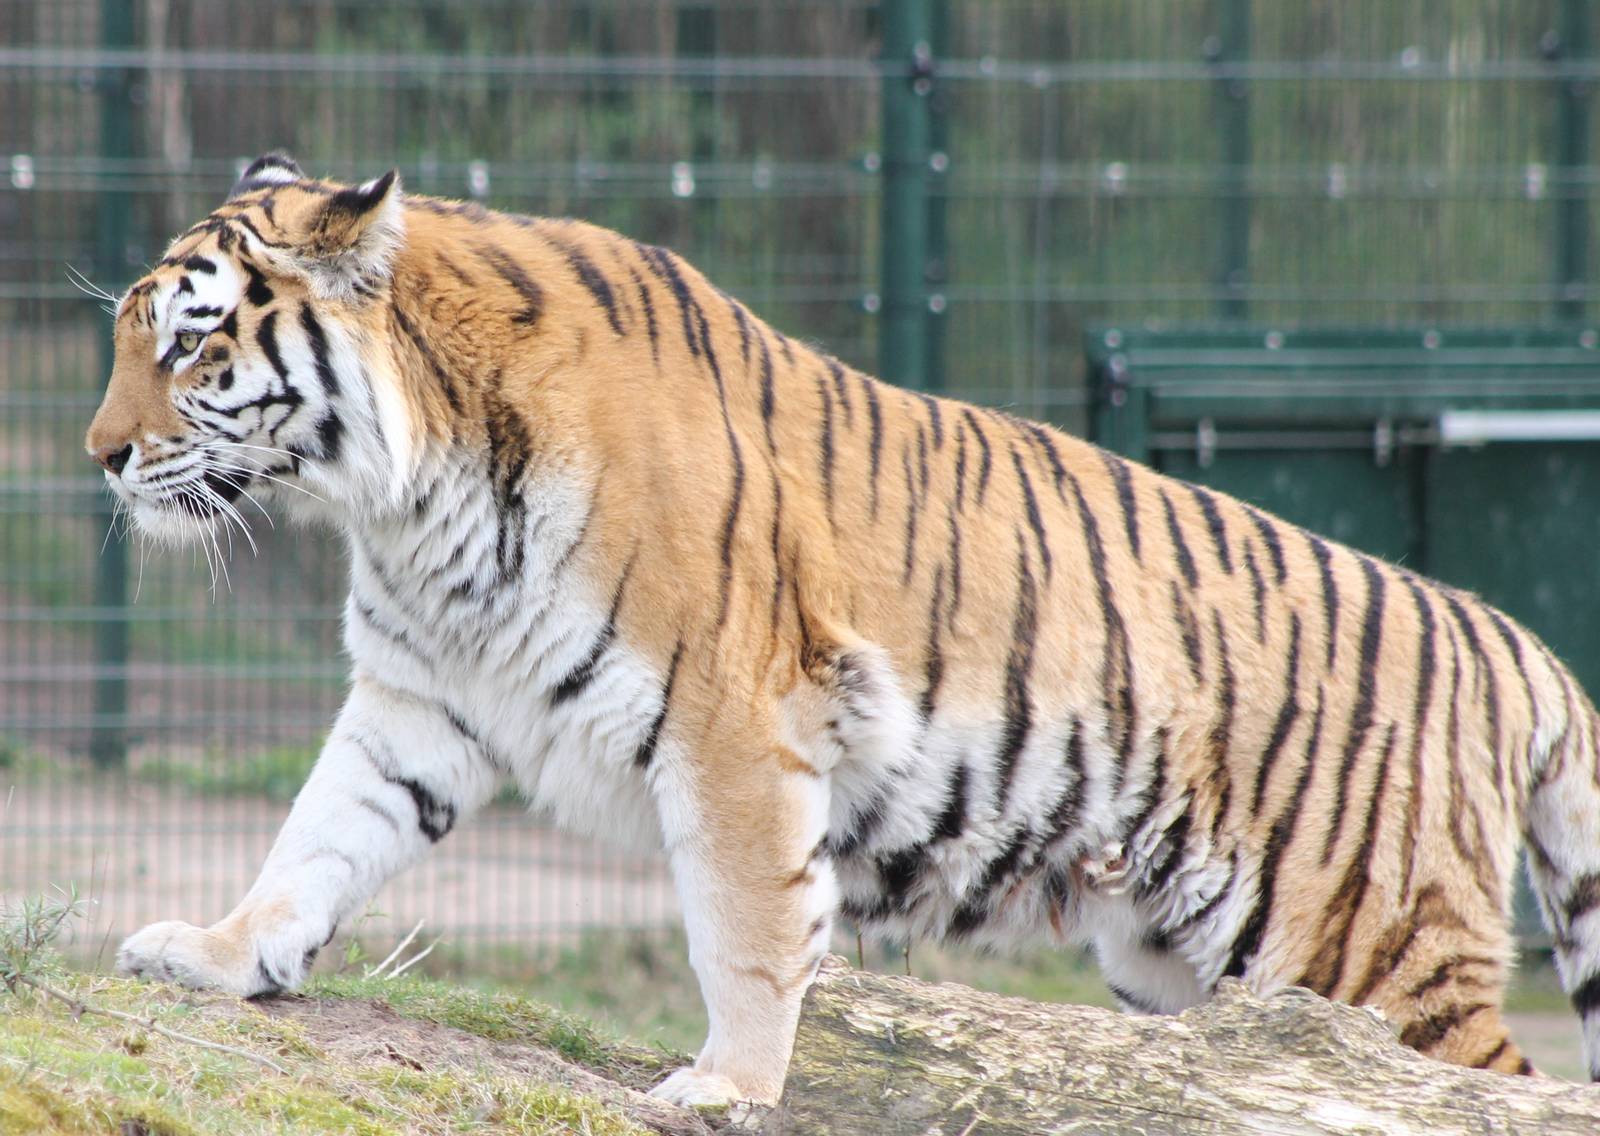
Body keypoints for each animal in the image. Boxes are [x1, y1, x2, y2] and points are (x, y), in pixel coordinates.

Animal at [88, 152, 1600, 1107]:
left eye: (190, 346)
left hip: (1373, 948)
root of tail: (1506, 637)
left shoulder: (734, 721)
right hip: (1193, 962)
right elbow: (315, 840)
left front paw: (726, 1083)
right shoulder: (421, 697)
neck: (406, 496)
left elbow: (747, 924)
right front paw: (218, 952)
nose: (100, 455)